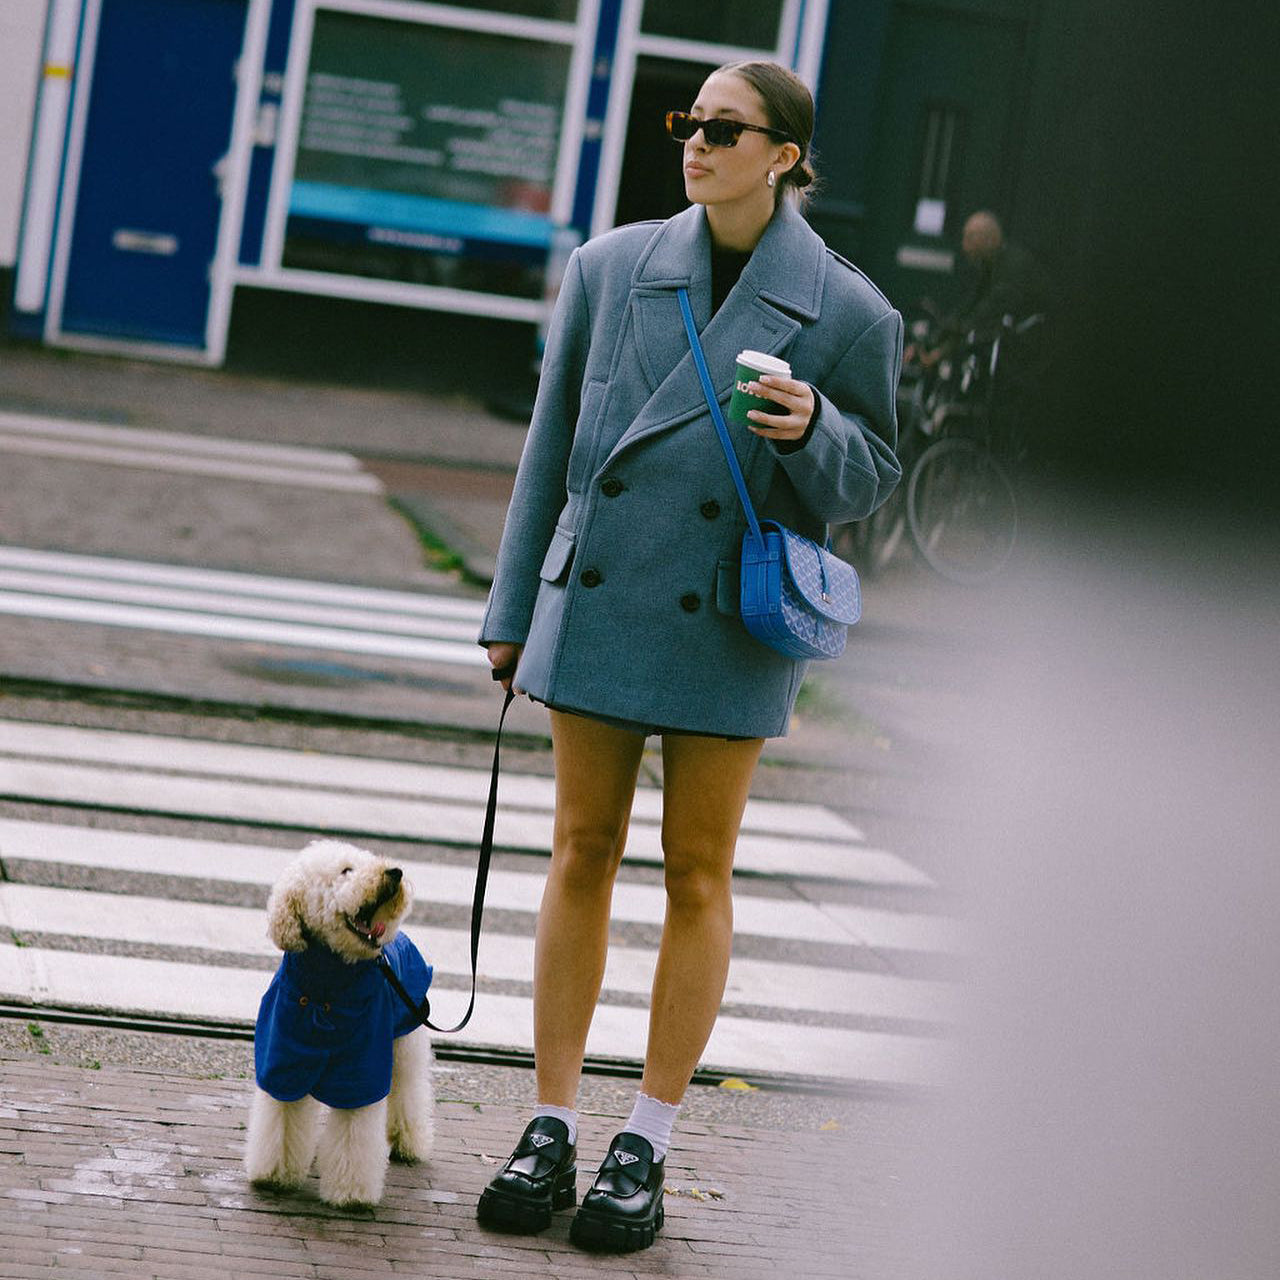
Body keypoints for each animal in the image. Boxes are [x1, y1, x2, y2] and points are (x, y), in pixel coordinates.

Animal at [241, 839, 437, 1208]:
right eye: (346, 870)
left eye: (368, 861)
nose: (395, 872)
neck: (326, 985)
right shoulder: (283, 1058)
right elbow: (282, 1118)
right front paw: (275, 1175)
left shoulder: (360, 1069)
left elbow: (353, 1133)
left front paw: (350, 1193)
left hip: (404, 1044)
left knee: (408, 1091)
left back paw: (406, 1142)